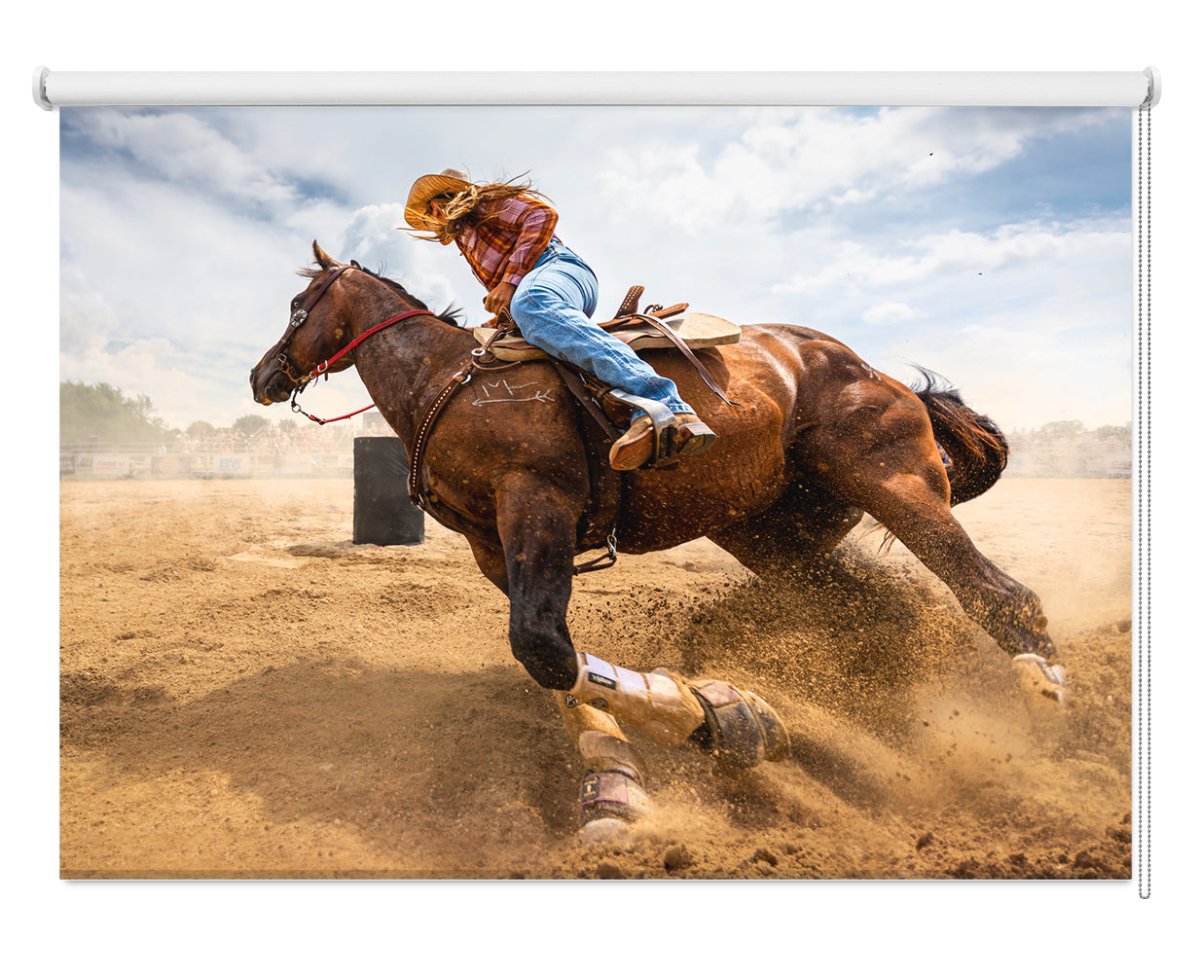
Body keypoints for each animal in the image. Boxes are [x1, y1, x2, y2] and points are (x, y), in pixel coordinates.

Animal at [248, 241, 1065, 835]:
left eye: (296, 306)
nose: (261, 375)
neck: (448, 379)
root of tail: (876, 372)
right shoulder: (494, 548)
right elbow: (553, 657)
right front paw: (621, 781)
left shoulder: (537, 503)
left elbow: (541, 644)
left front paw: (727, 719)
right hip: (780, 541)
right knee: (887, 614)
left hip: (895, 486)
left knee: (999, 593)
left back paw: (1047, 720)